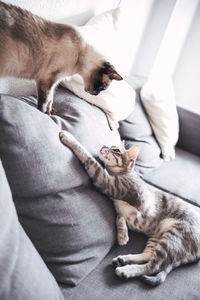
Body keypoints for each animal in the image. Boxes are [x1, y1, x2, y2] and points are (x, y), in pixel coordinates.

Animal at [59, 131, 200, 286]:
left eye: (115, 150)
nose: (103, 146)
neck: (121, 174)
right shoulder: (117, 198)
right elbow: (119, 216)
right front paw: (122, 234)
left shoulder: (108, 183)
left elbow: (89, 159)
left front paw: (69, 137)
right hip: (157, 238)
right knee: (148, 254)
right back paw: (124, 259)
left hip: (173, 237)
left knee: (154, 266)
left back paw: (126, 270)